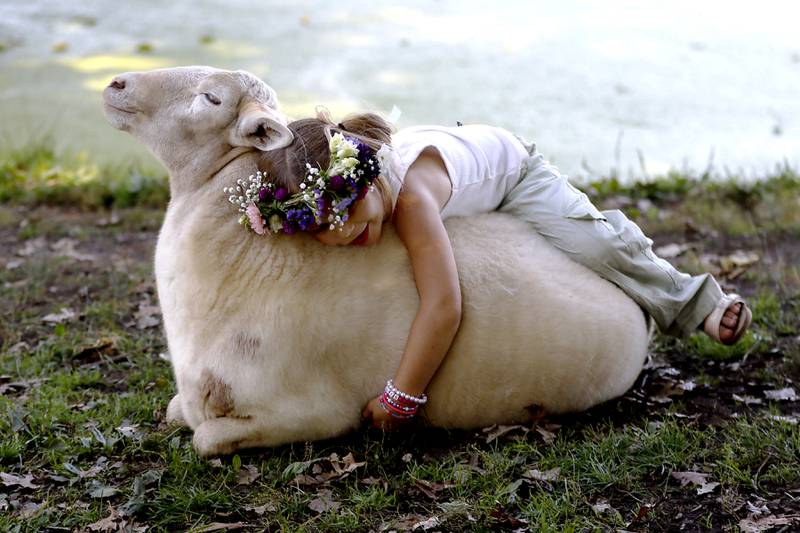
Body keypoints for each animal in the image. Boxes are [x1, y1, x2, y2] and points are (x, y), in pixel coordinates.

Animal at [103, 66, 650, 457]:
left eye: (211, 98)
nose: (115, 83)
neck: (248, 261)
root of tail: (635, 309)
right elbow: (177, 412)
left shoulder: (312, 412)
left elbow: (205, 439)